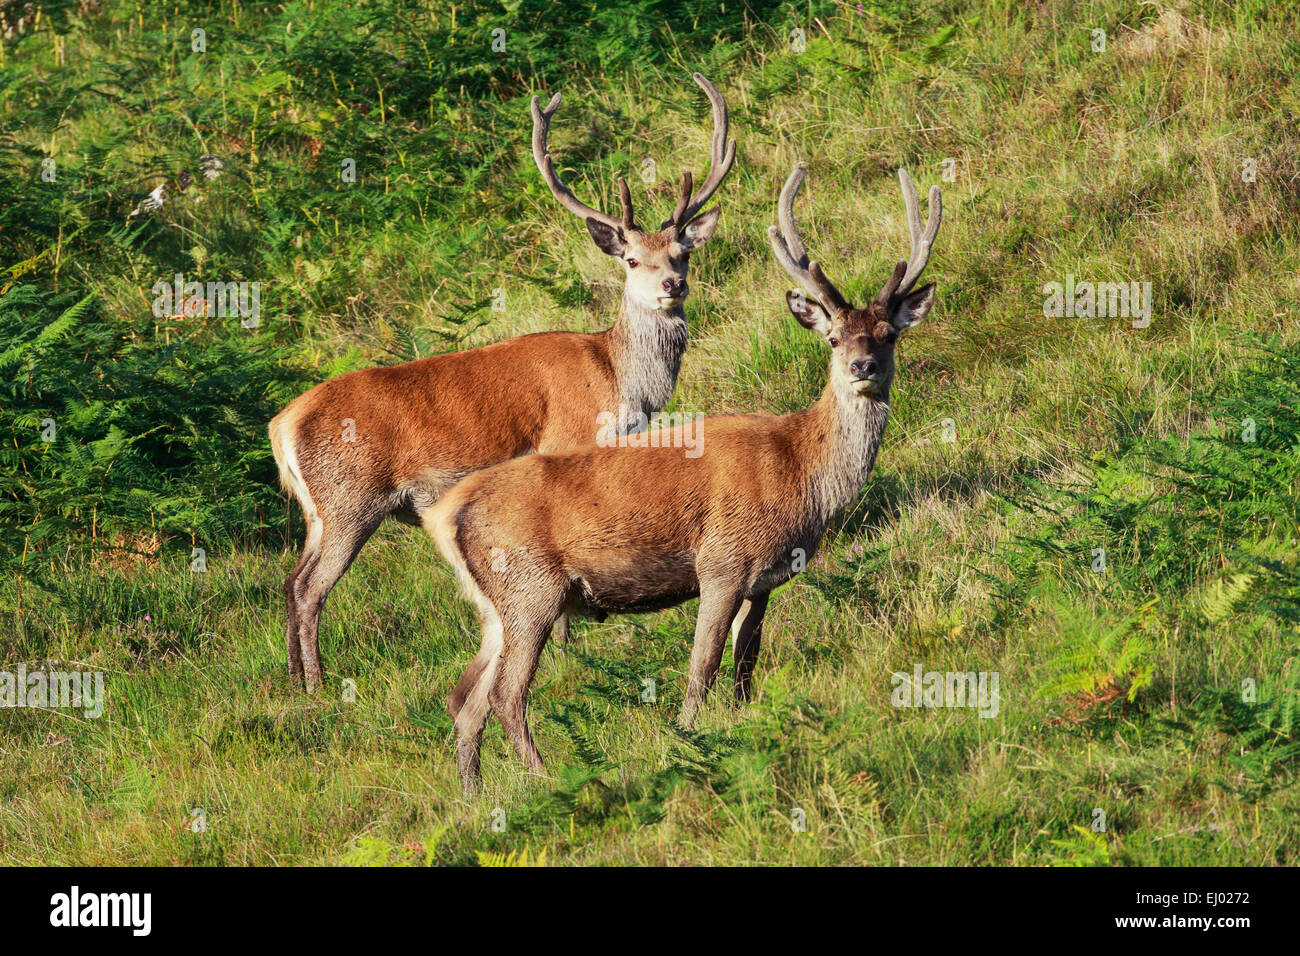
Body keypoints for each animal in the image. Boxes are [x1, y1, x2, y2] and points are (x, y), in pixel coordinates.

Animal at [269, 74, 735, 691]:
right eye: (632, 260)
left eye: (682, 253)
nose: (672, 286)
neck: (618, 380)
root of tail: (281, 425)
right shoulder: (566, 444)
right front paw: (566, 645)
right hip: (349, 499)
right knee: (310, 588)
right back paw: (318, 684)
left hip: (318, 511)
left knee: (291, 580)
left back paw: (296, 678)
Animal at [427, 162, 942, 790]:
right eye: (833, 337)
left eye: (889, 334)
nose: (862, 366)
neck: (801, 474)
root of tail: (445, 515)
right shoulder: (722, 561)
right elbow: (703, 665)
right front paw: (688, 739)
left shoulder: (764, 581)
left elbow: (745, 666)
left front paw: (742, 722)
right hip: (530, 589)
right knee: (505, 694)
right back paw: (552, 778)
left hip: (495, 607)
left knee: (465, 698)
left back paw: (476, 795)